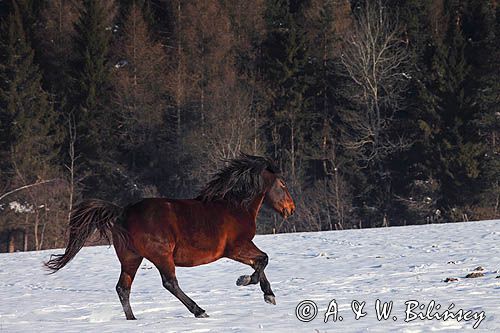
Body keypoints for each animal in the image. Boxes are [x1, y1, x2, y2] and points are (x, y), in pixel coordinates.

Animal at [45, 153, 294, 320]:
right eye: (282, 184)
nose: (290, 209)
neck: (234, 207)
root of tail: (122, 212)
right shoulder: (236, 247)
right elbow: (263, 260)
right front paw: (245, 281)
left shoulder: (239, 249)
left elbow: (260, 262)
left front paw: (268, 295)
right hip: (161, 255)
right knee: (170, 283)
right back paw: (200, 311)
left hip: (131, 257)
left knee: (123, 288)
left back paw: (133, 320)